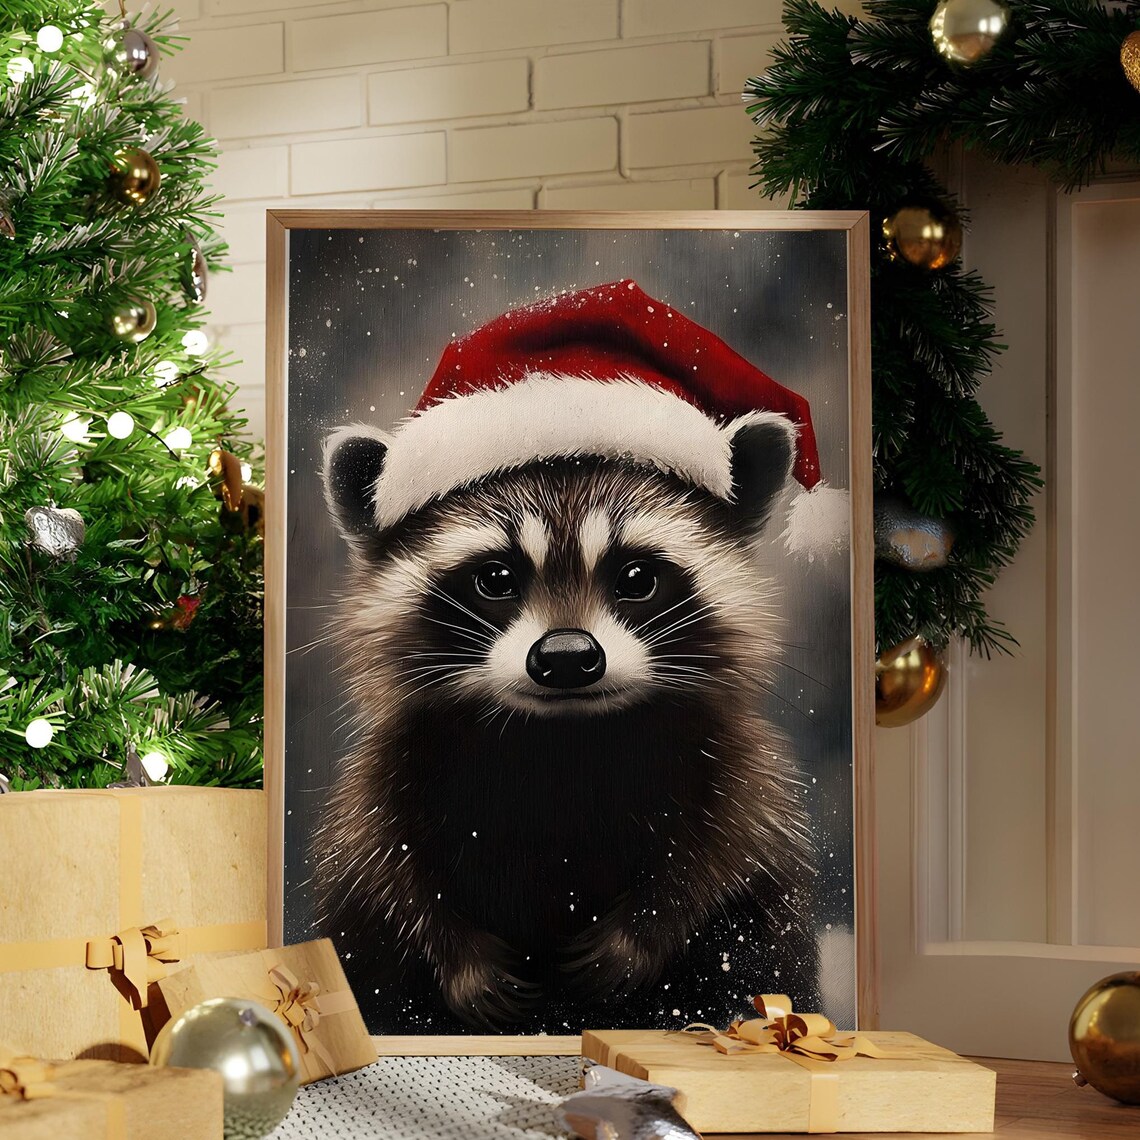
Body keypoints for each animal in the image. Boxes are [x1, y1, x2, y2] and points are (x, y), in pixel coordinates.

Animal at [315, 411, 820, 1031]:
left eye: (637, 578)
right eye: (494, 578)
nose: (566, 657)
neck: (562, 738)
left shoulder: (736, 760)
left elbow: (728, 845)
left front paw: (640, 935)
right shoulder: (391, 771)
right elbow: (389, 871)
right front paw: (460, 961)